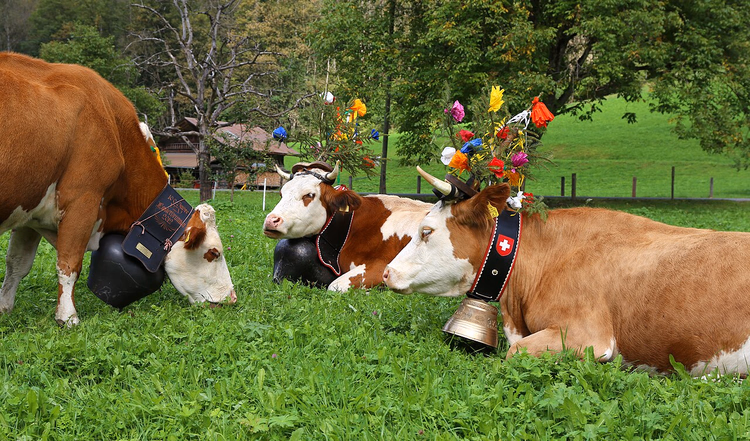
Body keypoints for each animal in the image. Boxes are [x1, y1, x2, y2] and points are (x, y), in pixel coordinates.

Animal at [0, 53, 236, 326]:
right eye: (214, 252)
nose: (232, 298)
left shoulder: (30, 213)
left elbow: (17, 264)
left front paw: (4, 308)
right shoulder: (82, 200)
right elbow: (69, 264)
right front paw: (68, 317)